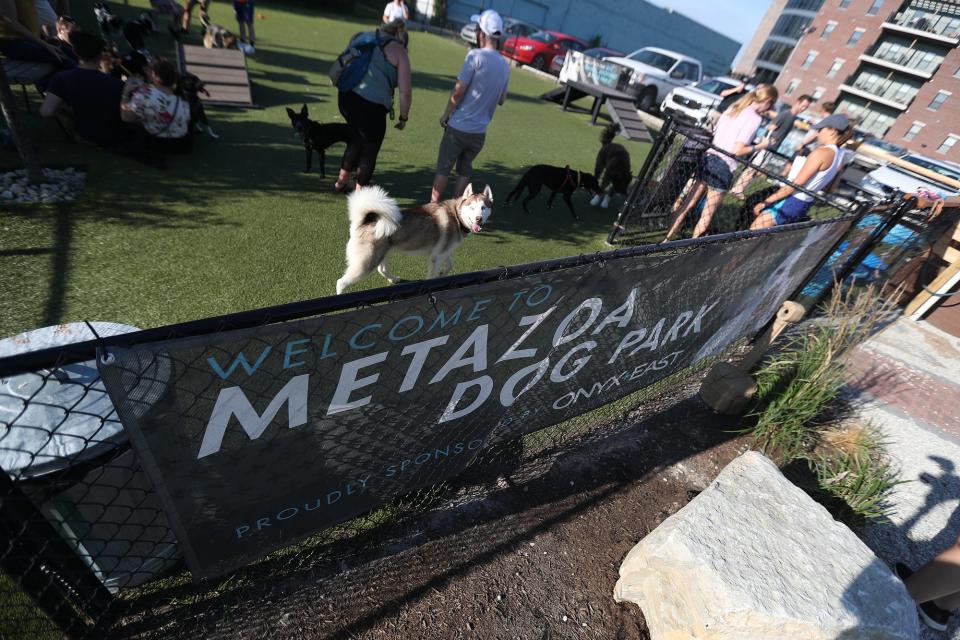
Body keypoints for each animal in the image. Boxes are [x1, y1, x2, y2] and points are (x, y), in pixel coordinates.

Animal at [336, 185, 492, 296]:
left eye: (483, 208)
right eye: (472, 207)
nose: (479, 218)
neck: (456, 215)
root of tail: (363, 221)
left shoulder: (442, 252)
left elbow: (450, 265)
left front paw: (443, 274)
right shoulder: (436, 257)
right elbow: (432, 277)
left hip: (383, 253)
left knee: (382, 269)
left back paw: (394, 279)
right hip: (366, 263)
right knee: (341, 282)